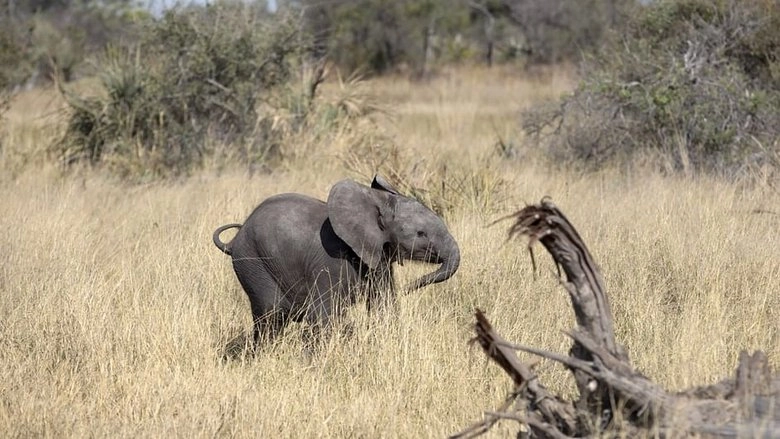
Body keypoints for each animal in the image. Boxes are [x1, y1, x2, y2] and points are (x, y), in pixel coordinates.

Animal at [213, 175, 460, 345]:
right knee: (272, 314)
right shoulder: (330, 261)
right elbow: (324, 315)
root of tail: (234, 239)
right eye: (421, 234)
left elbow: (382, 305)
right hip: (252, 262)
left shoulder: (377, 258)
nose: (409, 288)